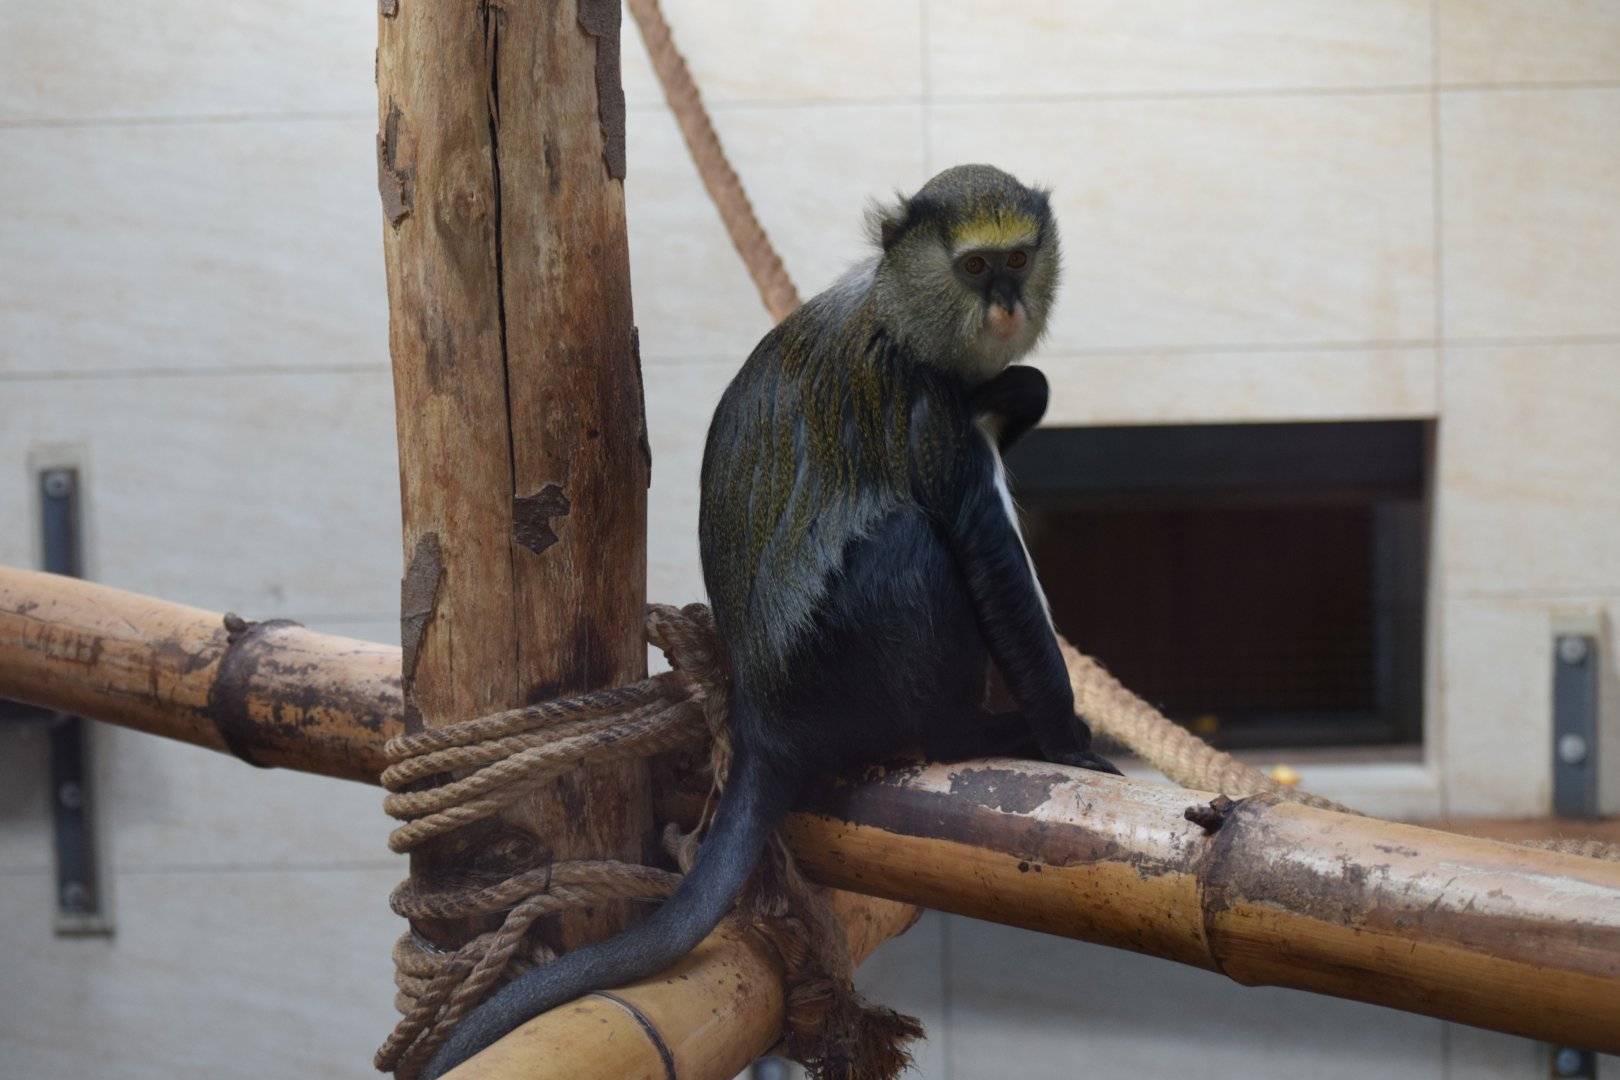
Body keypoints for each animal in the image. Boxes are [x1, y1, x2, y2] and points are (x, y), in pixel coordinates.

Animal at [424, 164, 1119, 1079]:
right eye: (973, 268)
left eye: (1017, 258)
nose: (1004, 303)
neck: (899, 307)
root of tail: (761, 723)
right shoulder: (927, 415)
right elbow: (987, 558)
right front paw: (1066, 740)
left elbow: (1025, 391)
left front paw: (1016, 387)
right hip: (836, 675)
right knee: (908, 542)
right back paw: (966, 731)